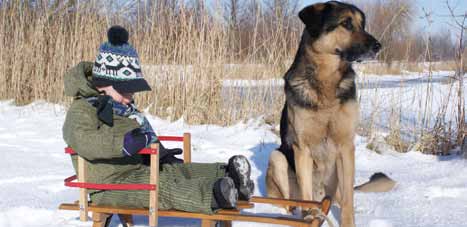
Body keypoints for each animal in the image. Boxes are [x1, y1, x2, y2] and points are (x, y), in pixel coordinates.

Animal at [266, 1, 384, 227]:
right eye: (346, 23)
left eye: (362, 25)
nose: (378, 46)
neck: (326, 79)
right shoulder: (302, 149)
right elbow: (305, 195)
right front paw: (309, 216)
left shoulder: (346, 147)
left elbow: (348, 202)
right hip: (278, 158)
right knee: (289, 202)